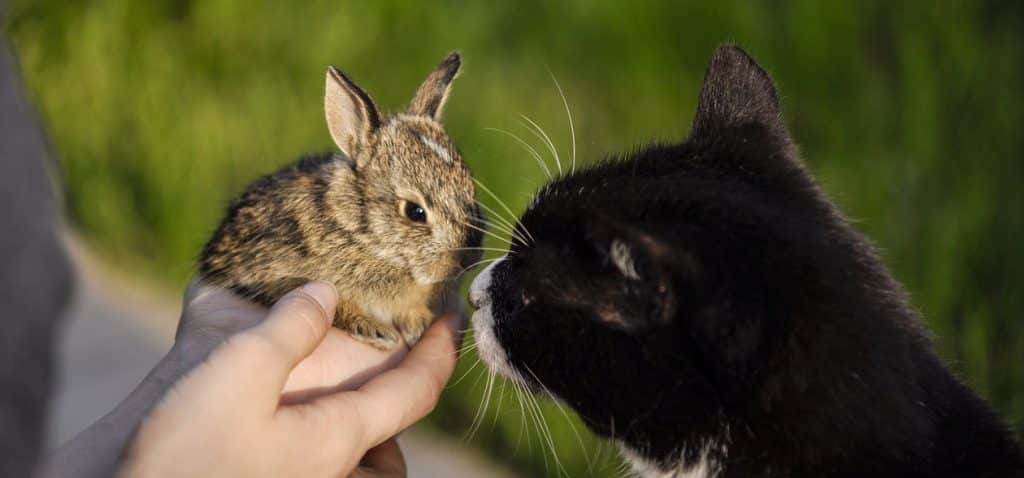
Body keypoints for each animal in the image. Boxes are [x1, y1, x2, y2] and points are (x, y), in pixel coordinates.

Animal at [199, 51, 483, 350]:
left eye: (471, 191)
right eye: (415, 211)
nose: (468, 259)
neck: (360, 235)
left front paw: (417, 322)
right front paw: (376, 331)